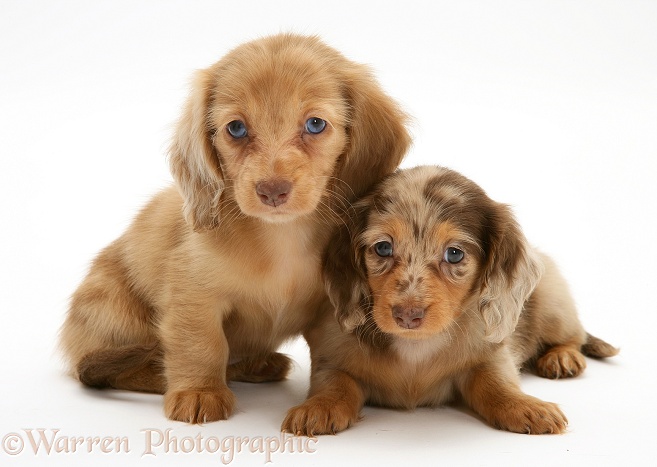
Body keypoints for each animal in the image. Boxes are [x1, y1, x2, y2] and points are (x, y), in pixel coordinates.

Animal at [61, 33, 410, 424]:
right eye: (236, 128)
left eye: (316, 124)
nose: (272, 191)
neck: (282, 238)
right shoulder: (194, 295)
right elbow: (202, 344)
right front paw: (199, 390)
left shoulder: (331, 309)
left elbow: (332, 361)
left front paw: (328, 402)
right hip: (115, 313)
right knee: (106, 368)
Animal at [282, 166, 616, 436]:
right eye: (383, 248)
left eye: (454, 254)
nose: (408, 315)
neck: (415, 347)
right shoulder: (331, 355)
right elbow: (335, 383)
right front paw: (319, 407)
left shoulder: (490, 356)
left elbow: (496, 384)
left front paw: (526, 406)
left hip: (553, 304)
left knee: (574, 335)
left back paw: (562, 357)